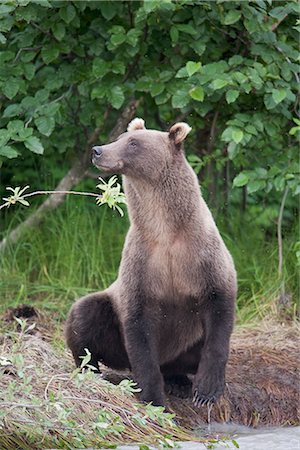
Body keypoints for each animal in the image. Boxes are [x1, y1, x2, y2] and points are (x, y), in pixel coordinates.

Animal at [65, 118, 237, 408]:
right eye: (121, 138)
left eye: (133, 143)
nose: (98, 150)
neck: (166, 231)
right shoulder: (142, 263)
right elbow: (140, 331)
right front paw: (153, 397)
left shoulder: (203, 257)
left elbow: (219, 314)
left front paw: (206, 391)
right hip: (113, 331)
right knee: (86, 313)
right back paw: (90, 367)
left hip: (186, 341)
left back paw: (179, 380)